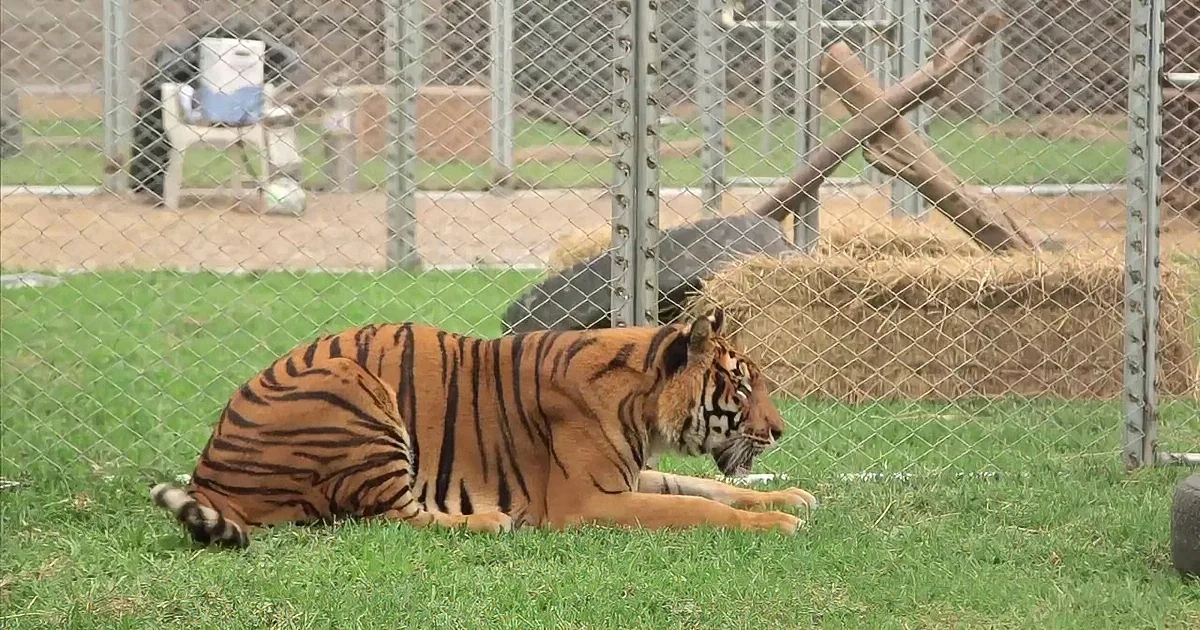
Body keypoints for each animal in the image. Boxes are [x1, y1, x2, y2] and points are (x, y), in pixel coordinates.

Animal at [148, 309, 818, 547]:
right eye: (744, 388)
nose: (781, 431)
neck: (644, 405)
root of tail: (209, 470)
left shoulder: (631, 477)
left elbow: (713, 488)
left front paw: (792, 495)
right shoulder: (588, 501)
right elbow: (702, 507)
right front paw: (777, 524)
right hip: (355, 390)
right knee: (391, 514)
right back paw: (490, 521)